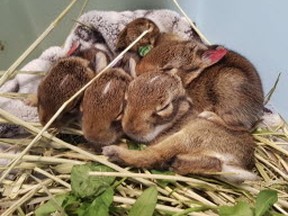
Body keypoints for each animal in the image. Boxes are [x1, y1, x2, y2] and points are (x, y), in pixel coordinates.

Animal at [103, 71, 256, 183]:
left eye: (164, 107)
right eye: (126, 98)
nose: (130, 128)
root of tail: (238, 161)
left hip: (193, 134)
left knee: (156, 154)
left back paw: (113, 152)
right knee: (214, 163)